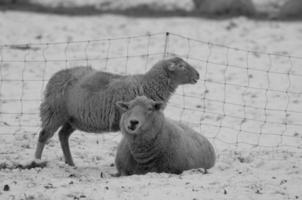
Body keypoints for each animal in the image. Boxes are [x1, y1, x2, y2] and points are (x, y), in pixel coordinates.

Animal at [34, 55, 199, 166]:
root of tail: (56, 76)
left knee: (63, 135)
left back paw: (70, 163)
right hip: (54, 112)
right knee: (44, 135)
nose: (198, 75)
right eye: (181, 66)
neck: (147, 84)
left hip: (74, 119)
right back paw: (36, 161)